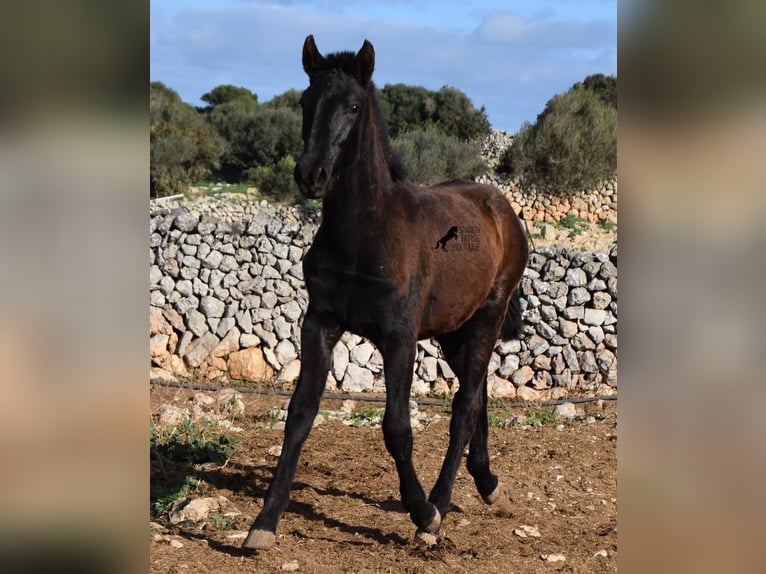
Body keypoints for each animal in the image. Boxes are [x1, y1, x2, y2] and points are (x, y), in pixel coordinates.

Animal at [244, 36, 528, 552]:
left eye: (354, 106)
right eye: (305, 102)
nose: (311, 174)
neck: (364, 235)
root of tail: (500, 207)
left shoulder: (399, 337)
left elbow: (397, 428)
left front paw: (421, 512)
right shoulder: (320, 323)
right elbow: (299, 415)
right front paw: (265, 522)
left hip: (488, 317)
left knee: (463, 406)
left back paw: (440, 502)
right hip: (453, 331)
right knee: (476, 393)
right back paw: (487, 482)